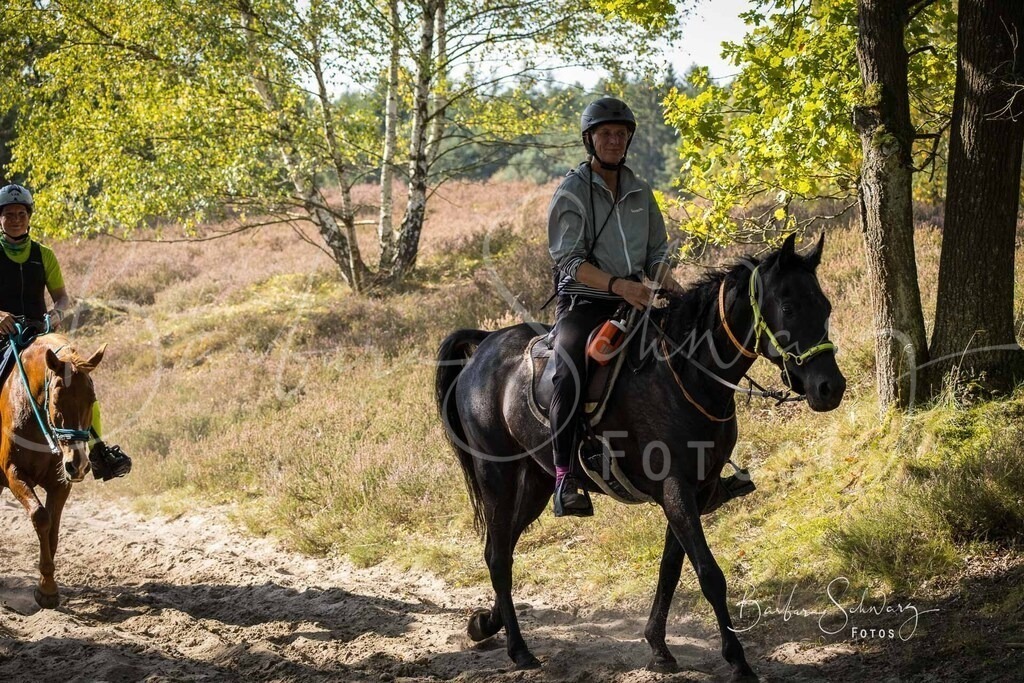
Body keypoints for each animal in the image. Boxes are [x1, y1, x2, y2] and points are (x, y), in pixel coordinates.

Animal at [0, 333, 105, 608]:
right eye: (57, 401)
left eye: (92, 400)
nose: (78, 464)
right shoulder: (13, 473)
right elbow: (40, 516)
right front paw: (46, 588)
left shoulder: (61, 482)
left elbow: (53, 529)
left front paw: (48, 586)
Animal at [435, 233, 845, 681]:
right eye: (788, 307)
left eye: (825, 306)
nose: (830, 388)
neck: (687, 374)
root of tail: (482, 349)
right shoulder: (676, 489)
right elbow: (709, 574)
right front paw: (738, 660)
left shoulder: (694, 491)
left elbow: (671, 569)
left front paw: (659, 647)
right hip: (498, 477)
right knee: (497, 553)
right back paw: (519, 650)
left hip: (537, 484)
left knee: (502, 549)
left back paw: (485, 624)